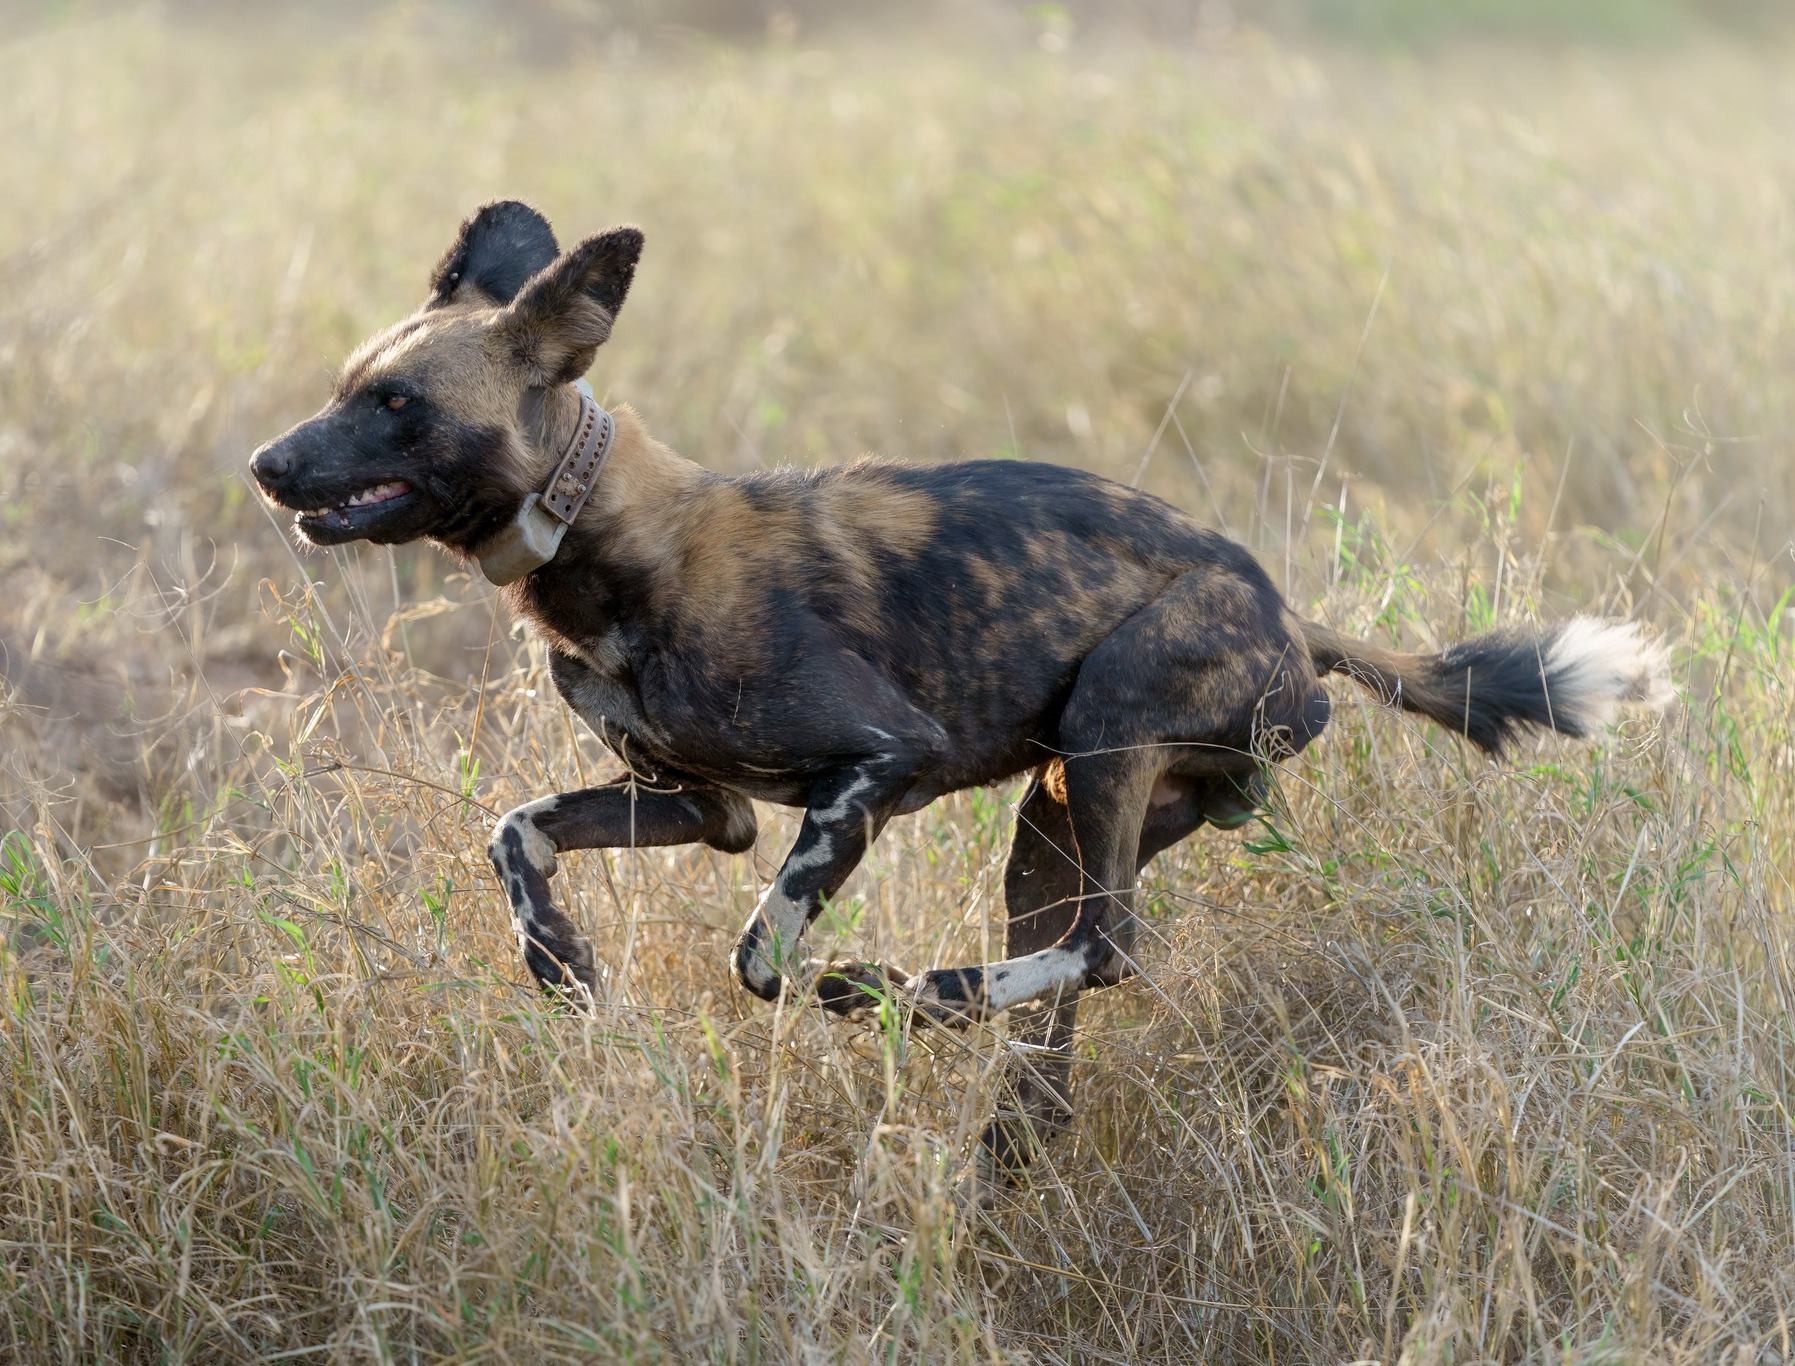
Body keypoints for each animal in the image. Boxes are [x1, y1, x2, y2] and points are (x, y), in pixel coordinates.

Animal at [249, 200, 1665, 1184]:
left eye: (397, 402)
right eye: (342, 388)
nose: (266, 464)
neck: (597, 535)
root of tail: (1289, 619)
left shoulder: (881, 762)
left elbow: (758, 952)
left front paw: (829, 990)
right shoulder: (709, 806)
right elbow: (515, 829)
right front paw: (559, 964)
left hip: (1103, 735)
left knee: (1106, 947)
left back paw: (894, 994)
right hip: (1055, 819)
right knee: (1072, 989)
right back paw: (997, 1153)